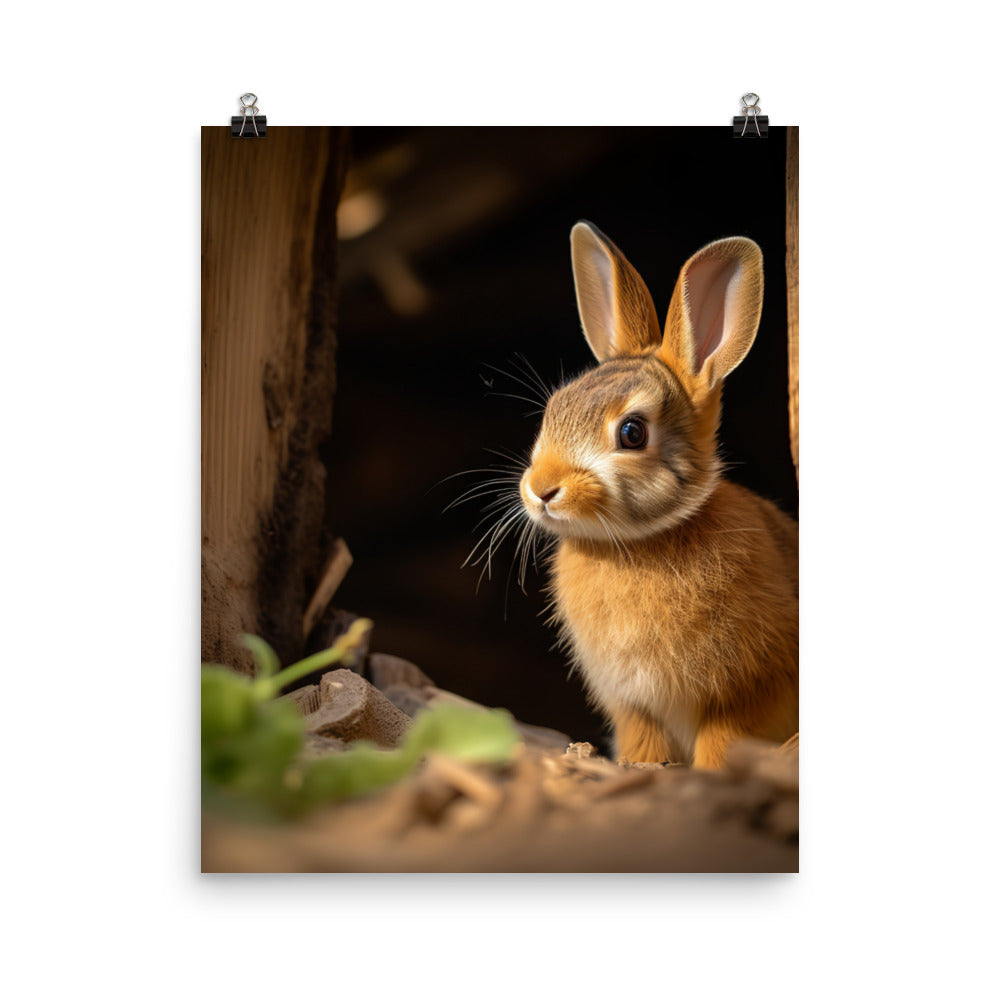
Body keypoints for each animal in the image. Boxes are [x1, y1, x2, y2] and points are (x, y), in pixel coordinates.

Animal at [518, 221, 798, 769]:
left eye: (632, 433)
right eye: (555, 407)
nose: (541, 490)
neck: (639, 543)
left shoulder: (747, 691)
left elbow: (723, 739)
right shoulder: (634, 705)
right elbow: (643, 743)